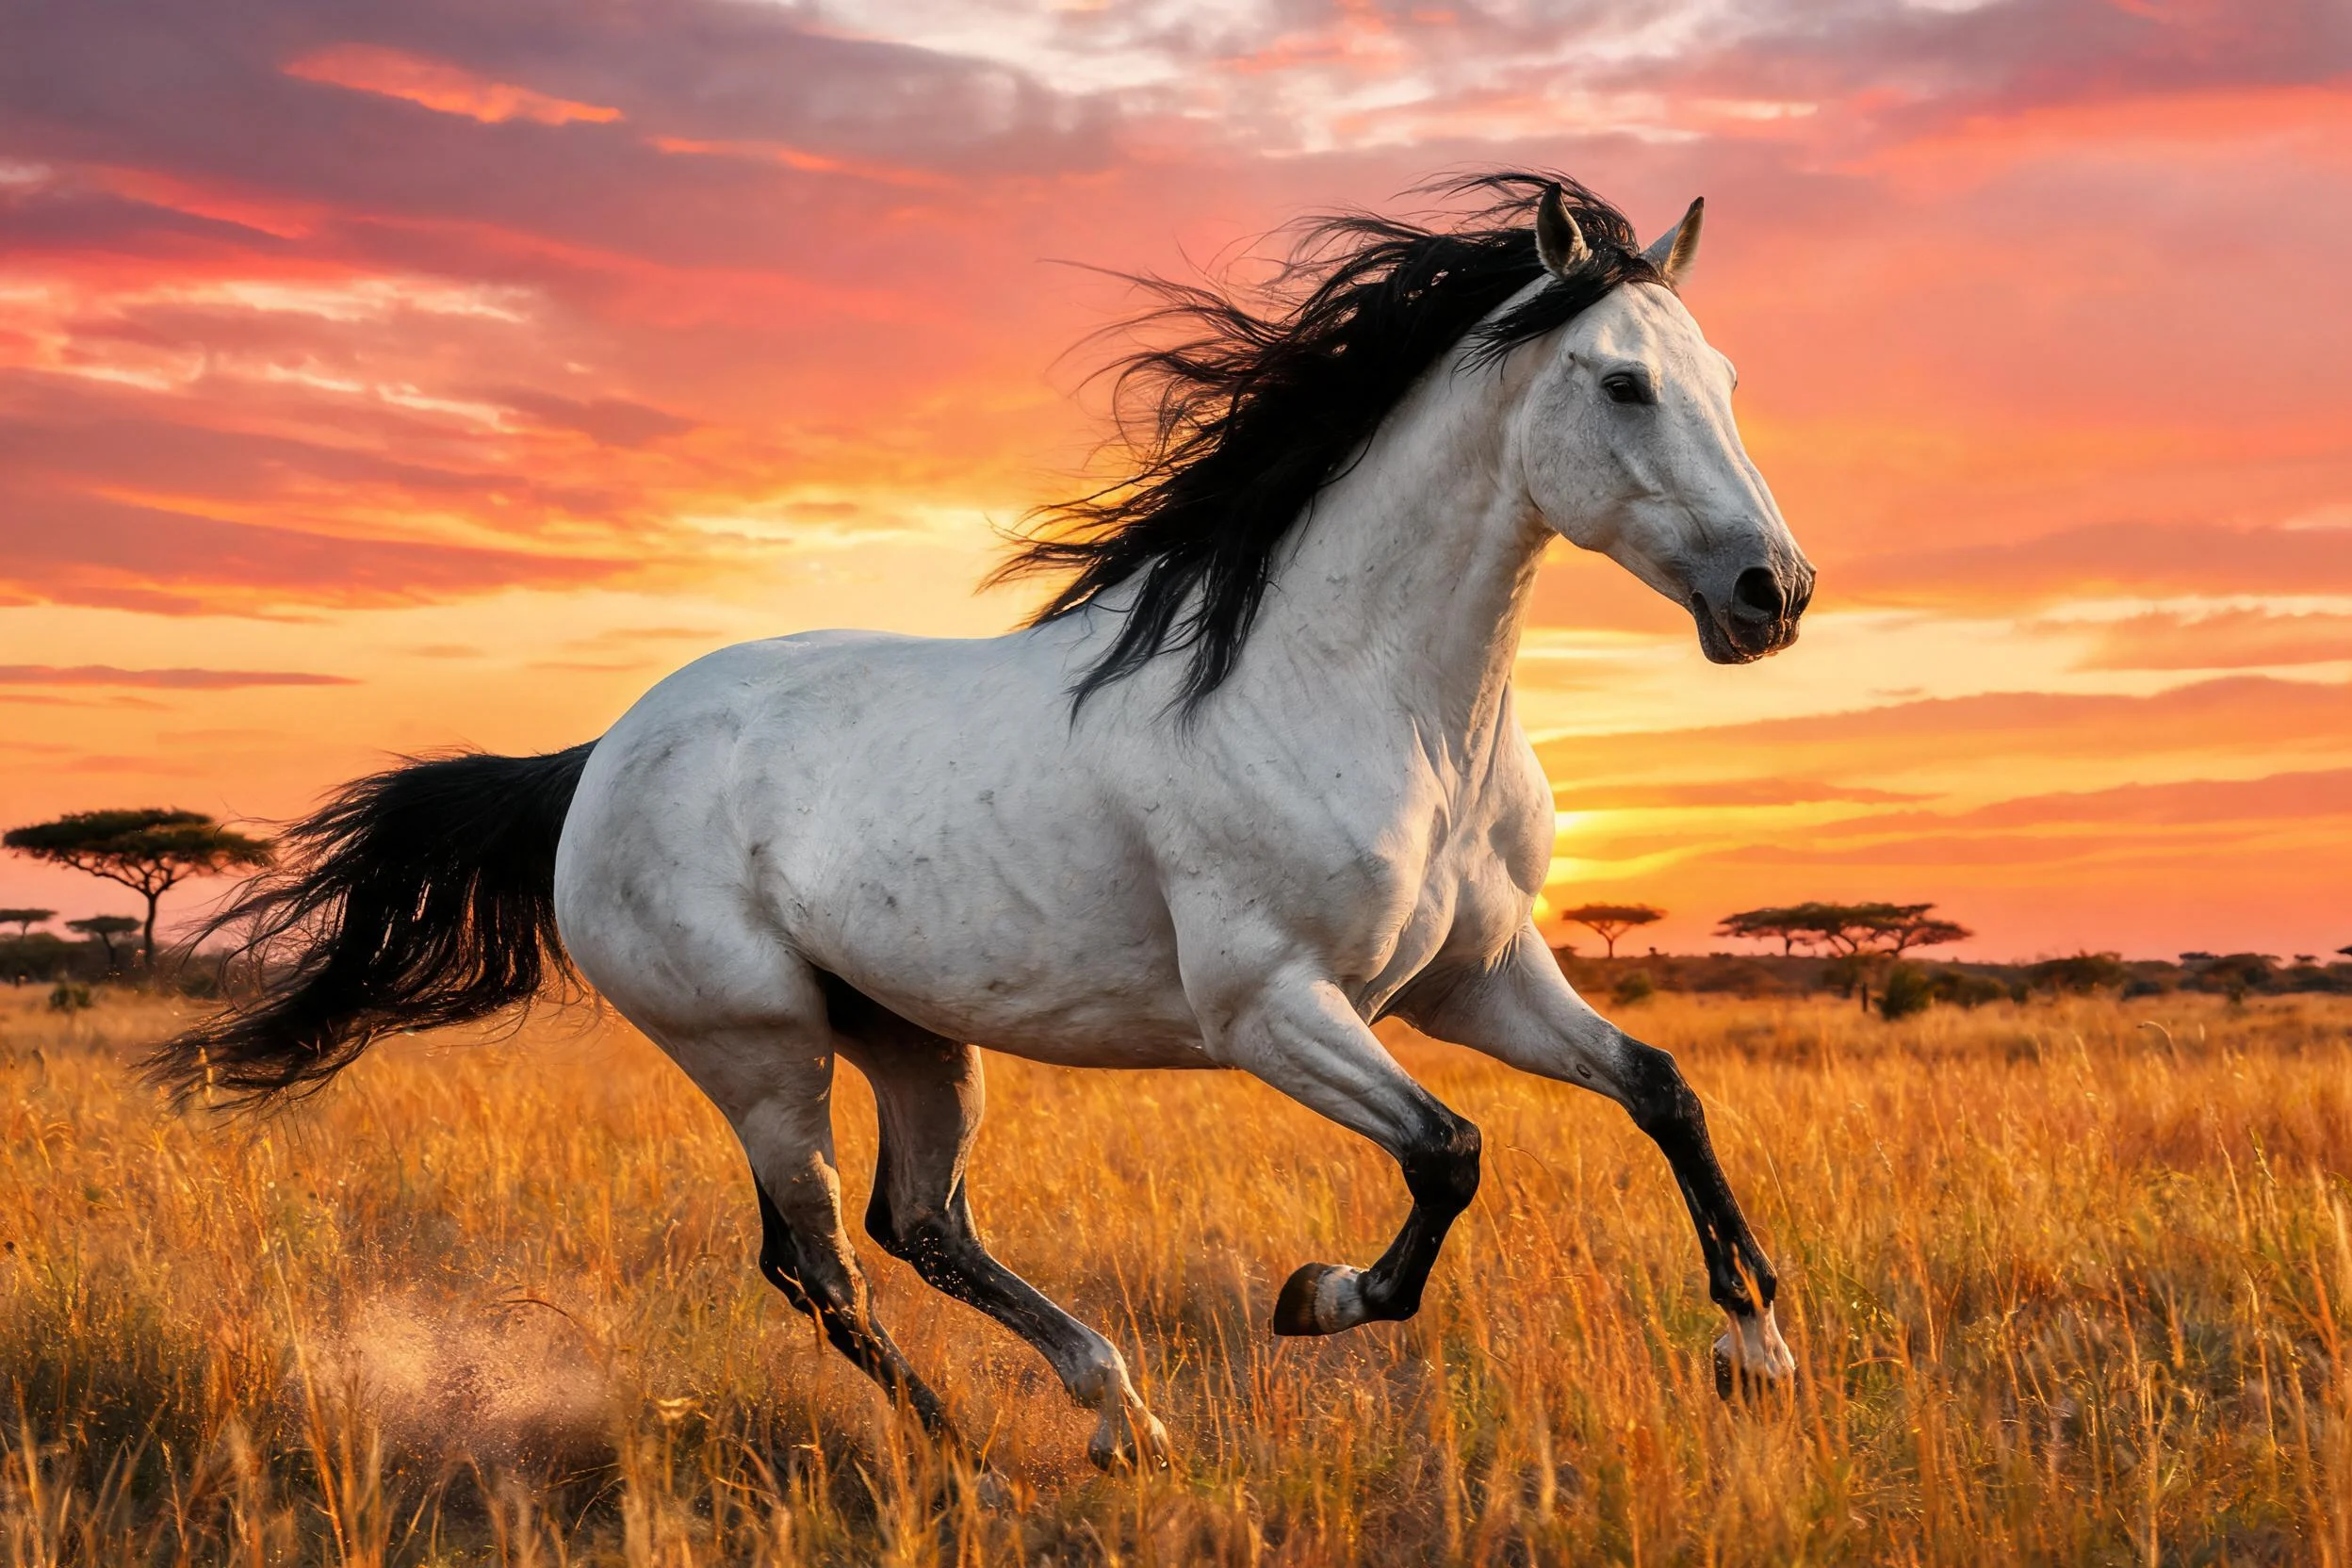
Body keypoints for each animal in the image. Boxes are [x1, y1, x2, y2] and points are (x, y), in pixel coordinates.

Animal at [157, 172, 1812, 1472]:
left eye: (1733, 379)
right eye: (1622, 384)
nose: (1774, 594)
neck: (1371, 700)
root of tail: (598, 760)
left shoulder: (1477, 978)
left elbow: (1663, 1092)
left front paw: (1758, 1353)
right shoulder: (1272, 1007)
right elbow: (1451, 1156)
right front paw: (1315, 1298)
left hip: (907, 1034)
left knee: (920, 1225)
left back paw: (1118, 1418)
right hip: (757, 1049)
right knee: (818, 1262)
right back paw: (972, 1453)